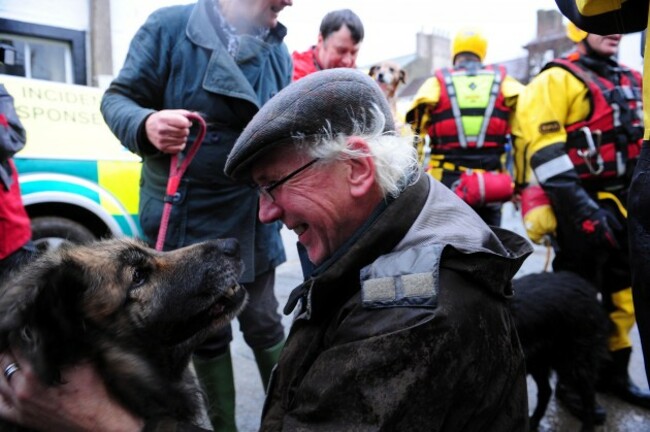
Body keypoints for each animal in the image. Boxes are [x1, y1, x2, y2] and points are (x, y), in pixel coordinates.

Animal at [512, 272, 608, 430]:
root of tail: (588, 290)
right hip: (540, 362)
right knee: (546, 391)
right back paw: (534, 421)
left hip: (577, 361)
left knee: (588, 397)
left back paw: (587, 427)